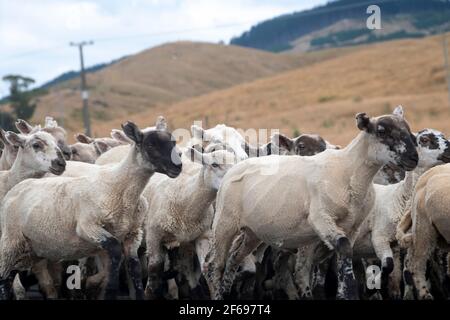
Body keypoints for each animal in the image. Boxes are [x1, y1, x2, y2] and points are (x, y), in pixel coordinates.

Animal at [0, 118, 183, 300]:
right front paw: (103, 289)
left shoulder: (132, 235)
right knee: (4, 276)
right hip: (11, 242)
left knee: (10, 276)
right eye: (151, 145)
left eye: (173, 143)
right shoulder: (88, 227)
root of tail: (16, 188)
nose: (178, 166)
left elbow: (135, 269)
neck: (118, 186)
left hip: (32, 249)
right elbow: (115, 253)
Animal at [204, 107, 418, 300]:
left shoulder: (352, 227)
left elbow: (345, 258)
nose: (413, 158)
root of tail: (235, 165)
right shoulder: (321, 217)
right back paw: (219, 293)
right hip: (225, 222)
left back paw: (227, 292)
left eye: (409, 131)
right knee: (214, 264)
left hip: (252, 232)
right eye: (381, 131)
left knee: (234, 258)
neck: (350, 172)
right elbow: (342, 249)